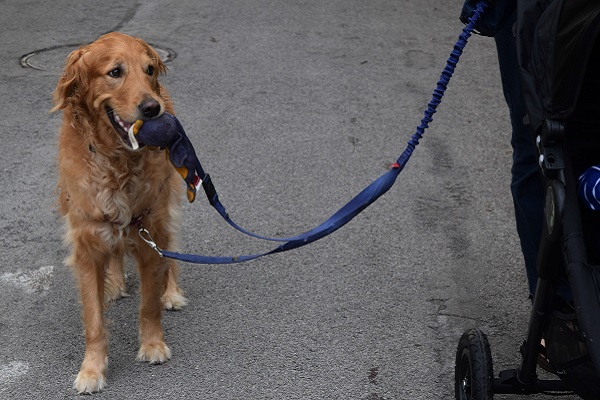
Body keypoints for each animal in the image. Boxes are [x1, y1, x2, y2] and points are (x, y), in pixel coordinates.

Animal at [51, 32, 188, 394]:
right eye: (115, 72)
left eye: (149, 69)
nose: (152, 108)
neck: (117, 161)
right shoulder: (86, 242)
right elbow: (93, 321)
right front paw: (91, 369)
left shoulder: (150, 230)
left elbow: (149, 303)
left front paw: (153, 345)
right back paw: (112, 284)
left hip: (167, 204)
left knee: (172, 252)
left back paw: (172, 292)